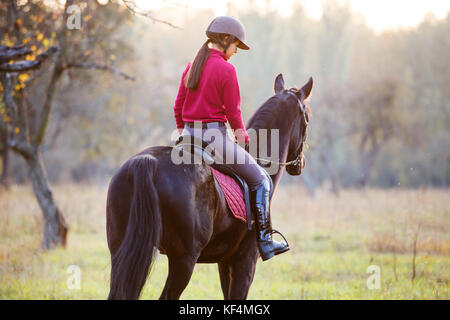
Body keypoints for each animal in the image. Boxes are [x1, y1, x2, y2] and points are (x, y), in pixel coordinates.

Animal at [105, 74, 312, 298]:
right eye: (307, 117)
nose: (300, 164)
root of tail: (147, 161)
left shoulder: (225, 262)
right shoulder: (245, 261)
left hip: (120, 249)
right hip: (184, 259)